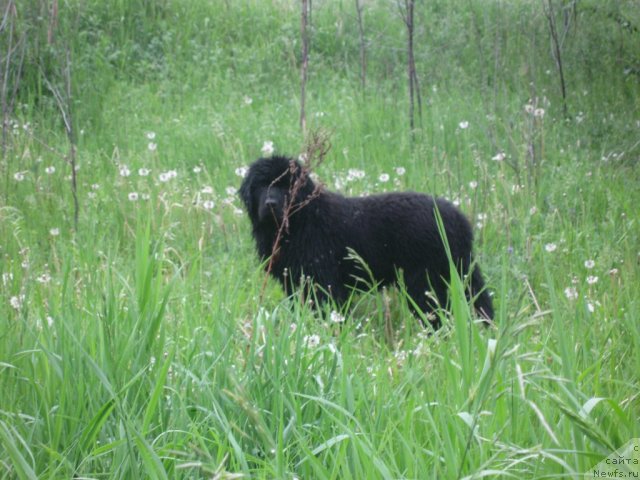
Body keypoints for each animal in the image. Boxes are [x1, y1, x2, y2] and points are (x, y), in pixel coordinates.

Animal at [240, 156, 496, 328]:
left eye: (287, 185)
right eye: (261, 185)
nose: (271, 204)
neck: (302, 220)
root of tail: (458, 219)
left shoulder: (323, 282)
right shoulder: (295, 283)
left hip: (423, 281)